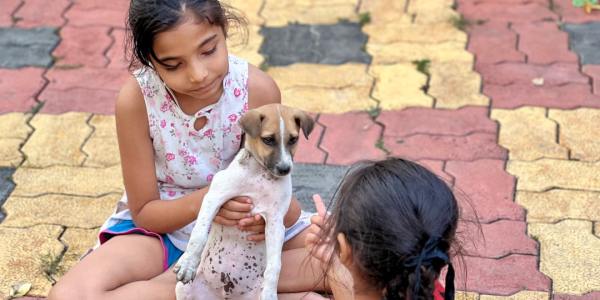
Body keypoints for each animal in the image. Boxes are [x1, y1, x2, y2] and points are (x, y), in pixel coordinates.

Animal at [172, 103, 314, 300]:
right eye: (268, 140)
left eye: (293, 139)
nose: (285, 169)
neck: (260, 175)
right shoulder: (214, 197)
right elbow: (198, 235)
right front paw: (188, 264)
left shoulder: (276, 222)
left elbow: (275, 265)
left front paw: (270, 292)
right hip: (184, 290)